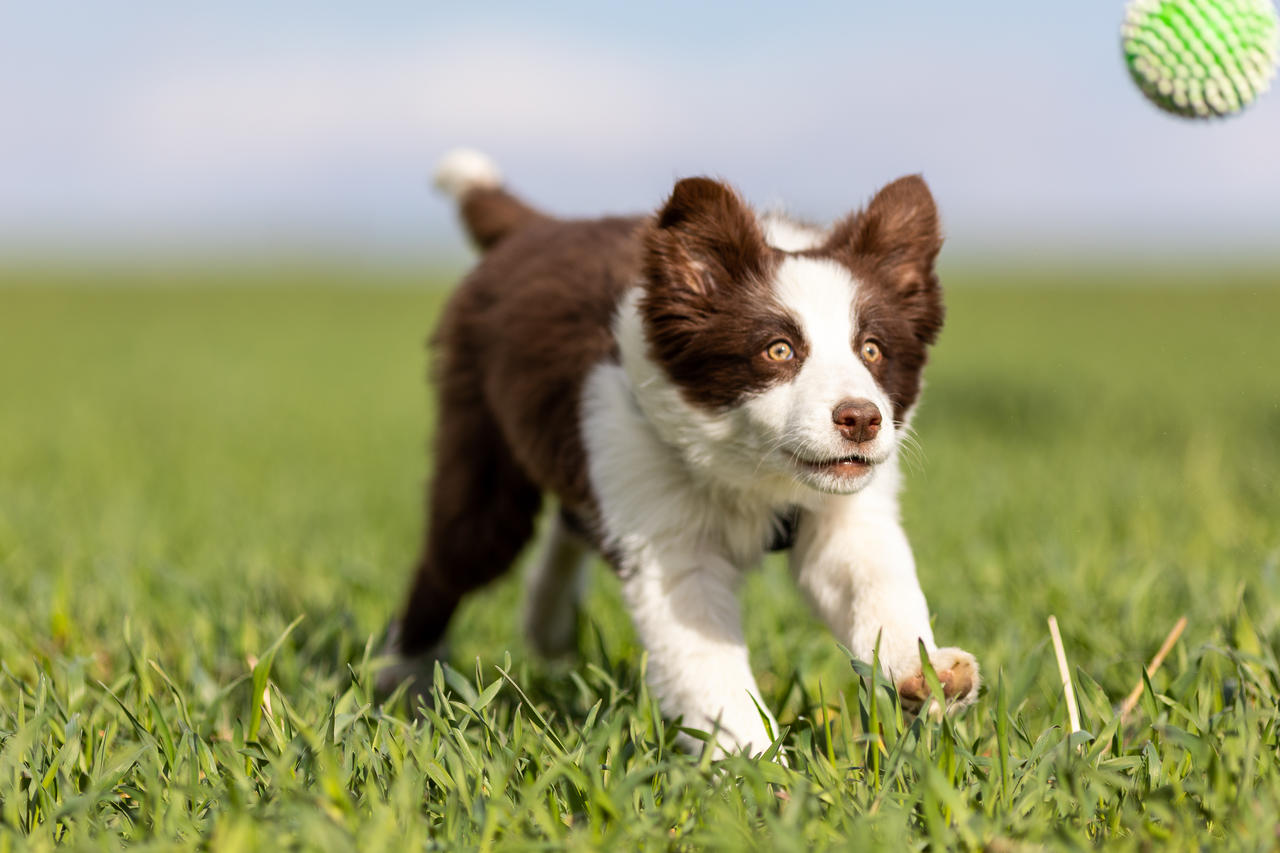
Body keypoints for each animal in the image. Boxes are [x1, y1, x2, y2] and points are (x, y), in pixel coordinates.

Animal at [389, 149, 977, 753]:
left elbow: (874, 581)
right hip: (484, 449)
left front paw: (925, 671)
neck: (747, 470)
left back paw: (545, 624)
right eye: (779, 350)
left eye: (873, 350)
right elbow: (708, 665)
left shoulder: (845, 514)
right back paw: (406, 683)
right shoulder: (664, 535)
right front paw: (758, 765)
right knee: (454, 555)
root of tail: (539, 226)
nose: (861, 419)